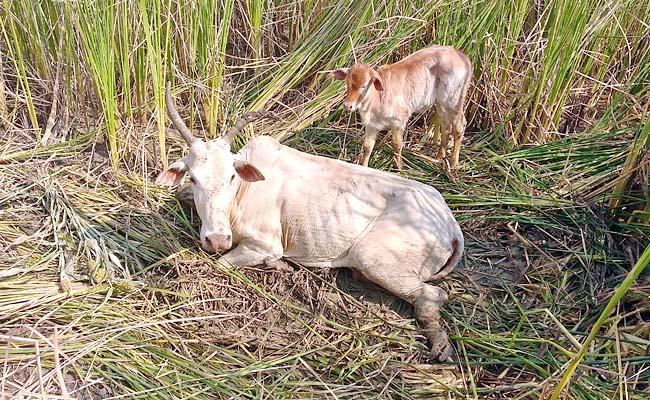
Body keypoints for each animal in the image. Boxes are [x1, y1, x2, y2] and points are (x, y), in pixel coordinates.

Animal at [156, 82, 465, 361]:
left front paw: (277, 266)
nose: (218, 239)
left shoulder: (264, 244)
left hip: (373, 258)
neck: (243, 192)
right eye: (193, 178)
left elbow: (223, 263)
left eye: (232, 176)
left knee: (432, 296)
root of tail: (450, 225)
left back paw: (440, 346)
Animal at [329, 45, 472, 170]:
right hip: (441, 103)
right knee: (446, 126)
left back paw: (453, 163)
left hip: (453, 100)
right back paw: (438, 158)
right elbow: (367, 147)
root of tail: (462, 56)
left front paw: (399, 166)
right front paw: (363, 167)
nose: (348, 105)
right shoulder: (371, 125)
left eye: (364, 85)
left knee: (459, 126)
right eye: (347, 83)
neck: (376, 98)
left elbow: (397, 145)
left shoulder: (399, 120)